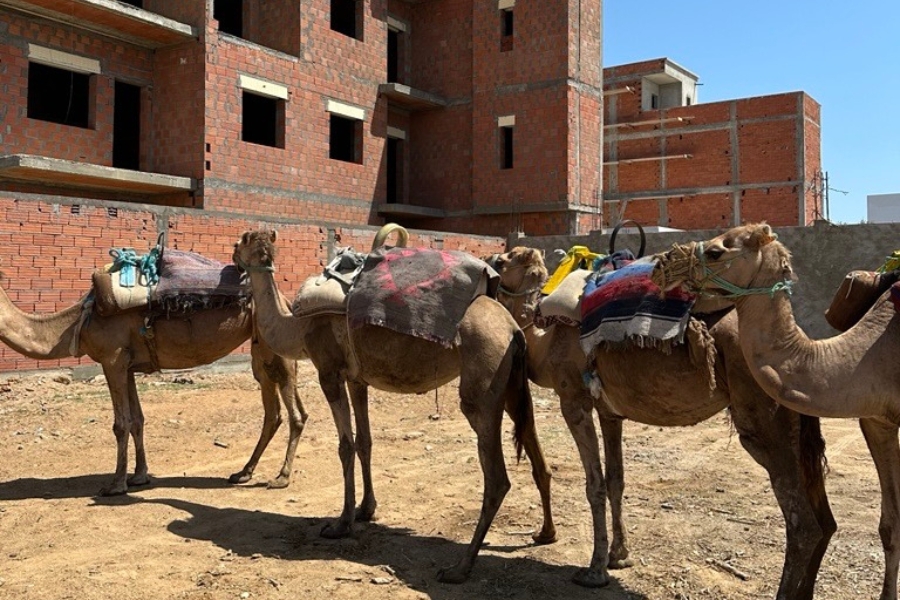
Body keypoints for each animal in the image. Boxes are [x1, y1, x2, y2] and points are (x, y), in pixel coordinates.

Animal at [0, 265, 308, 496]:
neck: (76, 323)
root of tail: (284, 300)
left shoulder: (112, 359)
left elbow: (120, 424)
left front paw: (116, 485)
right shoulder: (127, 364)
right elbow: (137, 419)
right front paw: (139, 476)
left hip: (273, 349)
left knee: (294, 413)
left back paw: (281, 477)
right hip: (261, 351)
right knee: (276, 411)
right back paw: (243, 472)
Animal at [231, 229, 557, 583]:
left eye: (243, 242)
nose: (233, 254)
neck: (297, 327)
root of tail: (513, 329)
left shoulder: (328, 370)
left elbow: (345, 446)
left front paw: (341, 523)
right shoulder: (356, 378)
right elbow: (365, 442)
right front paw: (365, 509)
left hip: (482, 382)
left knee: (497, 476)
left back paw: (459, 568)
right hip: (513, 387)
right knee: (537, 452)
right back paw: (545, 533)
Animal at [485, 246, 835, 599]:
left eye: (502, 261)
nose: (488, 262)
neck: (546, 336)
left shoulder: (573, 399)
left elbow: (595, 485)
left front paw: (595, 570)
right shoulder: (609, 411)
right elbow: (615, 480)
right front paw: (619, 555)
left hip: (764, 420)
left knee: (804, 525)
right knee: (826, 521)